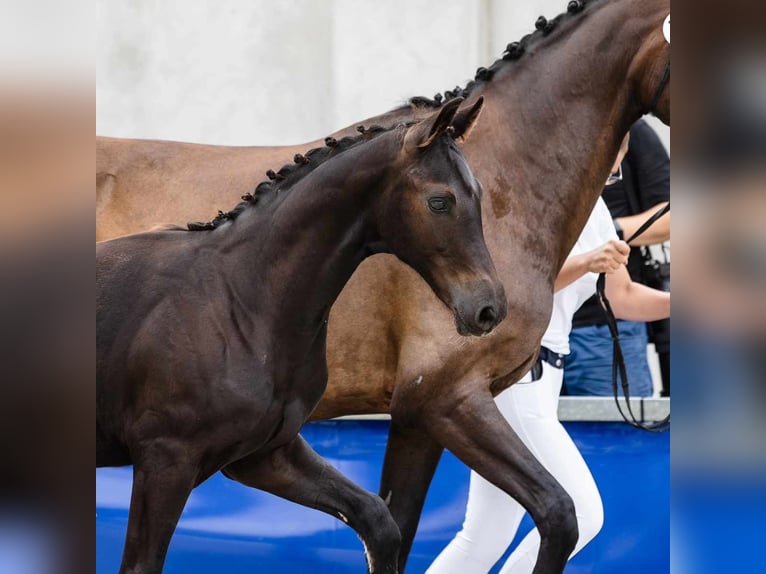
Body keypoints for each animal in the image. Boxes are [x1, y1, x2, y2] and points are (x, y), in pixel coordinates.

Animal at [96, 99, 508, 574]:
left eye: (479, 193)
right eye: (440, 201)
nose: (489, 308)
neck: (240, 301)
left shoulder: (264, 454)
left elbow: (379, 523)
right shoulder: (165, 460)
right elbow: (140, 565)